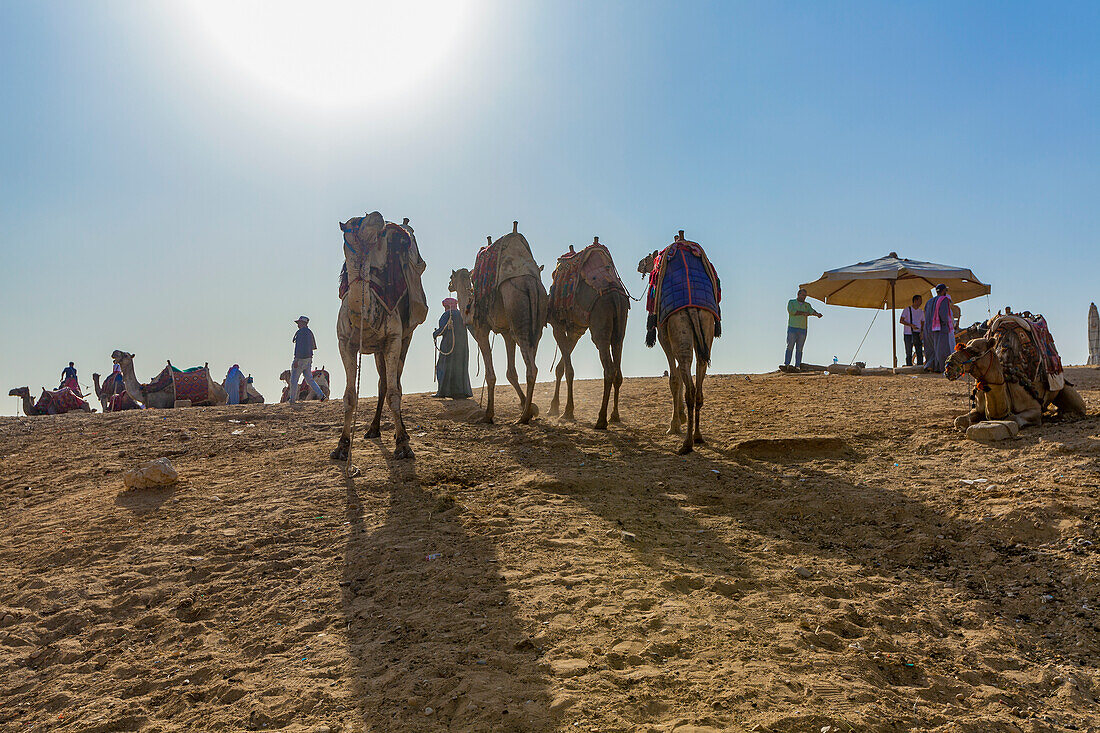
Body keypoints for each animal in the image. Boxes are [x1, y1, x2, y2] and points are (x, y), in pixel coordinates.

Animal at [327, 211, 426, 460]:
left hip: (406, 338)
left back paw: (401, 432)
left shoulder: (393, 339)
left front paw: (403, 445)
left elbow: (393, 392)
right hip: (377, 350)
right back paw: (373, 429)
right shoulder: (345, 343)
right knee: (383, 382)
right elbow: (350, 396)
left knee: (394, 382)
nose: (377, 215)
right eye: (353, 223)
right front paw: (342, 446)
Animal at [448, 221, 547, 422]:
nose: (449, 285)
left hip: (518, 313)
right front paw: (529, 405)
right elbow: (511, 373)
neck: (469, 306)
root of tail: (530, 283)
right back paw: (527, 411)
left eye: (451, 277)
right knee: (532, 357)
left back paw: (523, 417)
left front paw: (488, 414)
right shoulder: (506, 332)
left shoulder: (480, 330)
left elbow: (490, 374)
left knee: (531, 368)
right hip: (536, 323)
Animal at [543, 235, 629, 429]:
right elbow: (560, 367)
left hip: (600, 325)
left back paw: (601, 419)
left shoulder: (558, 326)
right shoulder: (576, 329)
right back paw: (615, 416)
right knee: (618, 370)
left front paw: (566, 412)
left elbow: (568, 370)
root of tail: (614, 293)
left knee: (609, 369)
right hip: (620, 328)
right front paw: (553, 408)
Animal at [638, 232, 721, 451]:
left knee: (689, 385)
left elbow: (674, 379)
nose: (640, 264)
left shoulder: (663, 336)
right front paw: (681, 418)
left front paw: (674, 425)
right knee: (699, 382)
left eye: (649, 257)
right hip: (705, 329)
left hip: (678, 329)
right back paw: (698, 436)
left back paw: (687, 444)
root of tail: (692, 307)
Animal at [941, 314, 1086, 429]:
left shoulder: (1034, 409)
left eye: (974, 351)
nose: (948, 365)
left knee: (1080, 407)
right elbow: (959, 419)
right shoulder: (977, 408)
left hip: (1064, 389)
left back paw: (1064, 415)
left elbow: (1013, 417)